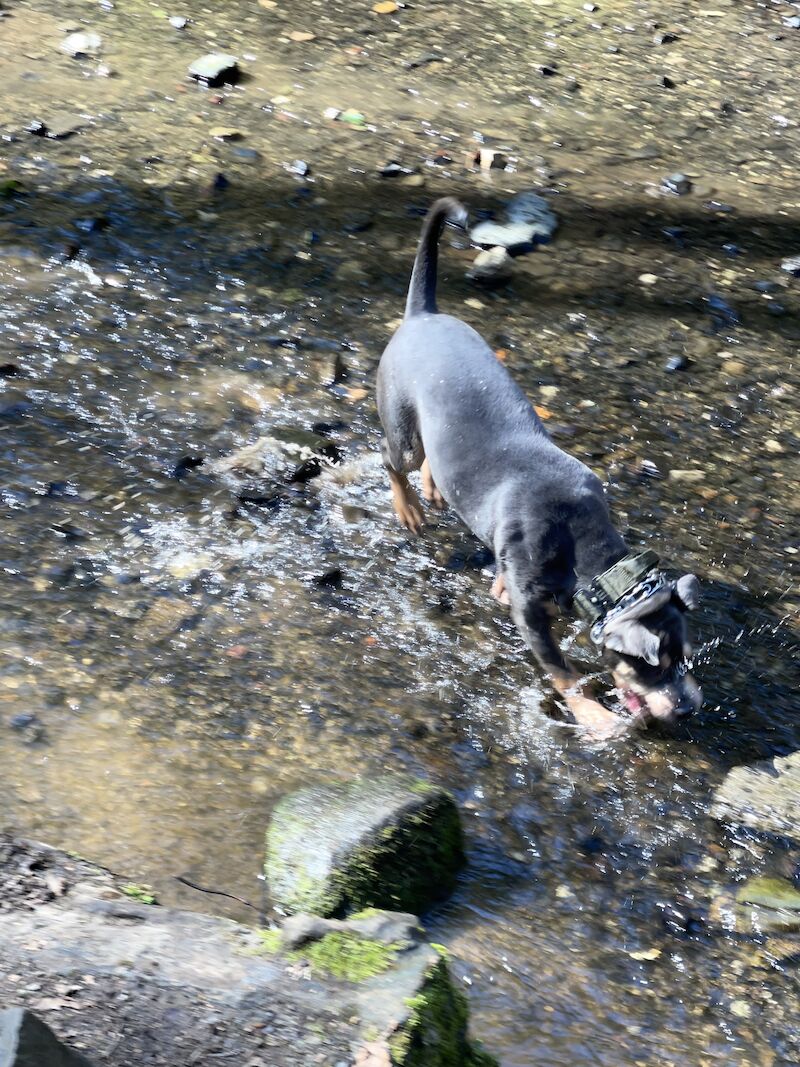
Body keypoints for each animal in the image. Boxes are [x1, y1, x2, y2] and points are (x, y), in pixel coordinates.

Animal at [375, 196, 699, 738]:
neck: (586, 549)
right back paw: (409, 508)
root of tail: (423, 314)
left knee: (434, 464)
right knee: (392, 460)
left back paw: (435, 490)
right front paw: (592, 715)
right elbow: (560, 668)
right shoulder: (531, 613)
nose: (692, 706)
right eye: (653, 665)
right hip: (401, 429)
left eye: (686, 657)